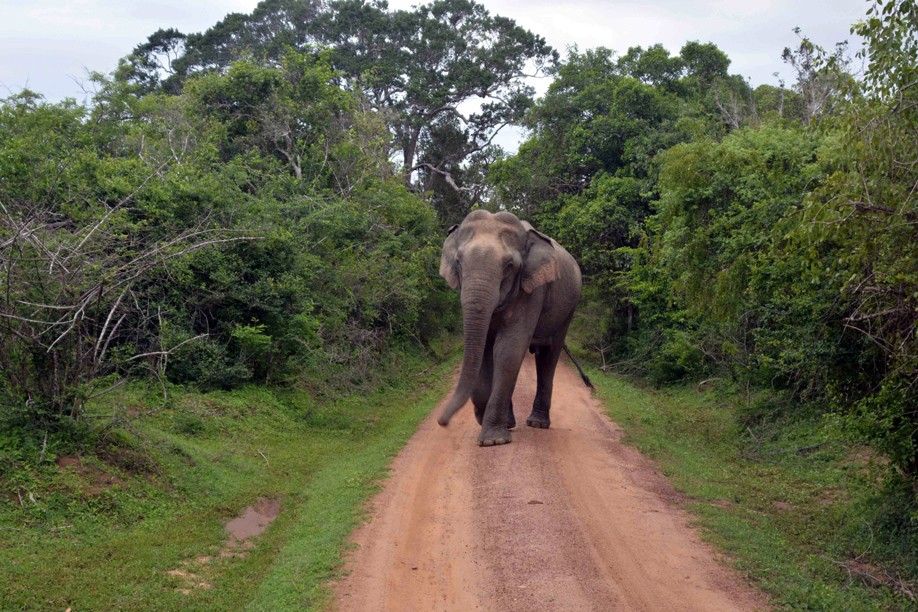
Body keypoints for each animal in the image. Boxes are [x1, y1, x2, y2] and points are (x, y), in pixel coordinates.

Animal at [436, 209, 583, 446]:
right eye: (458, 262)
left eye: (509, 266)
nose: (443, 422)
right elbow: (486, 348)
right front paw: (494, 424)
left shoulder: (532, 290)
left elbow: (508, 351)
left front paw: (492, 441)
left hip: (568, 310)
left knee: (548, 357)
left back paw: (537, 424)